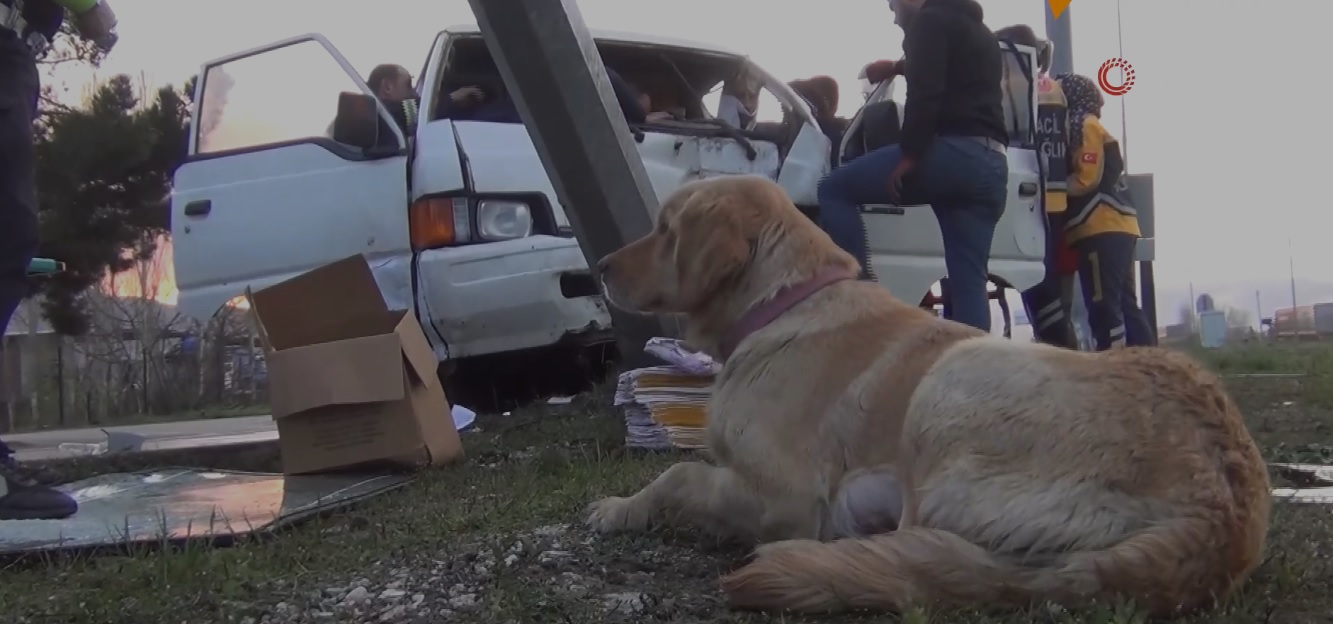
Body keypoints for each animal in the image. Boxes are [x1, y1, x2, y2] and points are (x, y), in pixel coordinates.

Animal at [591, 174, 1269, 613]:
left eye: (666, 230)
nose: (598, 266)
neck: (785, 299)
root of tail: (1224, 516)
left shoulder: (788, 495)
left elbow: (678, 475)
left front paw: (620, 508)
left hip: (950, 378)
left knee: (911, 560)